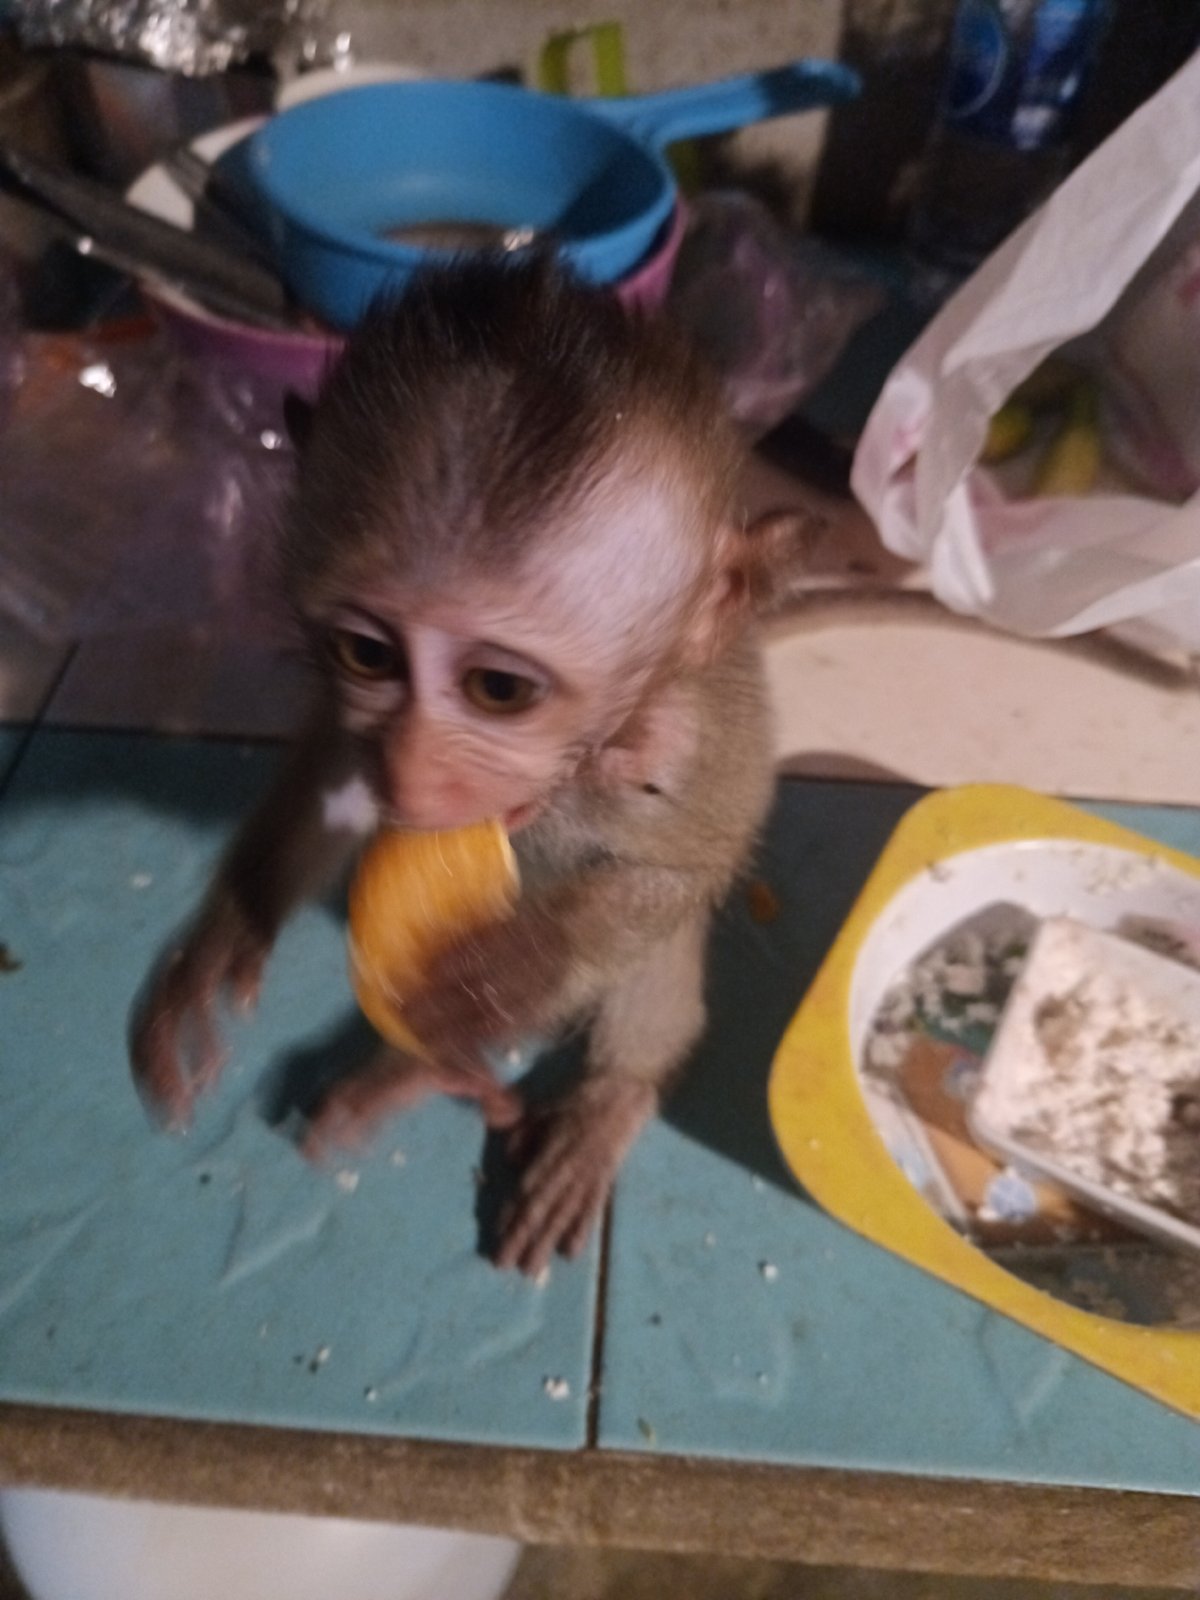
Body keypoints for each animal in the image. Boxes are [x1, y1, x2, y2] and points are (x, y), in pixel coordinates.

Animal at [130, 253, 812, 1277]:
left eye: (500, 689)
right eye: (368, 656)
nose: (414, 773)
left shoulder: (690, 742)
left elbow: (690, 863)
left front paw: (499, 983)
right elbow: (335, 772)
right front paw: (230, 927)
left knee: (652, 950)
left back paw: (585, 1096)